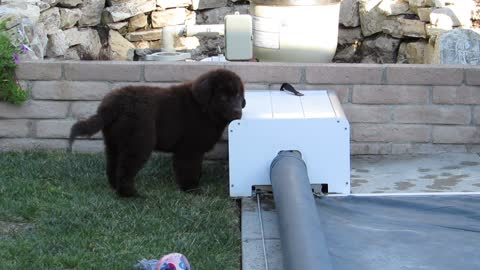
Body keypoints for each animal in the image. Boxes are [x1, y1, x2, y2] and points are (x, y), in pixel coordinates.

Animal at [69, 68, 246, 197]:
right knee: (126, 168)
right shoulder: (189, 149)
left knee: (113, 164)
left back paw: (115, 187)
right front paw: (191, 189)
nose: (238, 112)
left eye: (238, 95)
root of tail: (112, 106)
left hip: (113, 142)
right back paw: (130, 195)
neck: (204, 109)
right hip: (139, 141)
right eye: (223, 97)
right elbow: (189, 168)